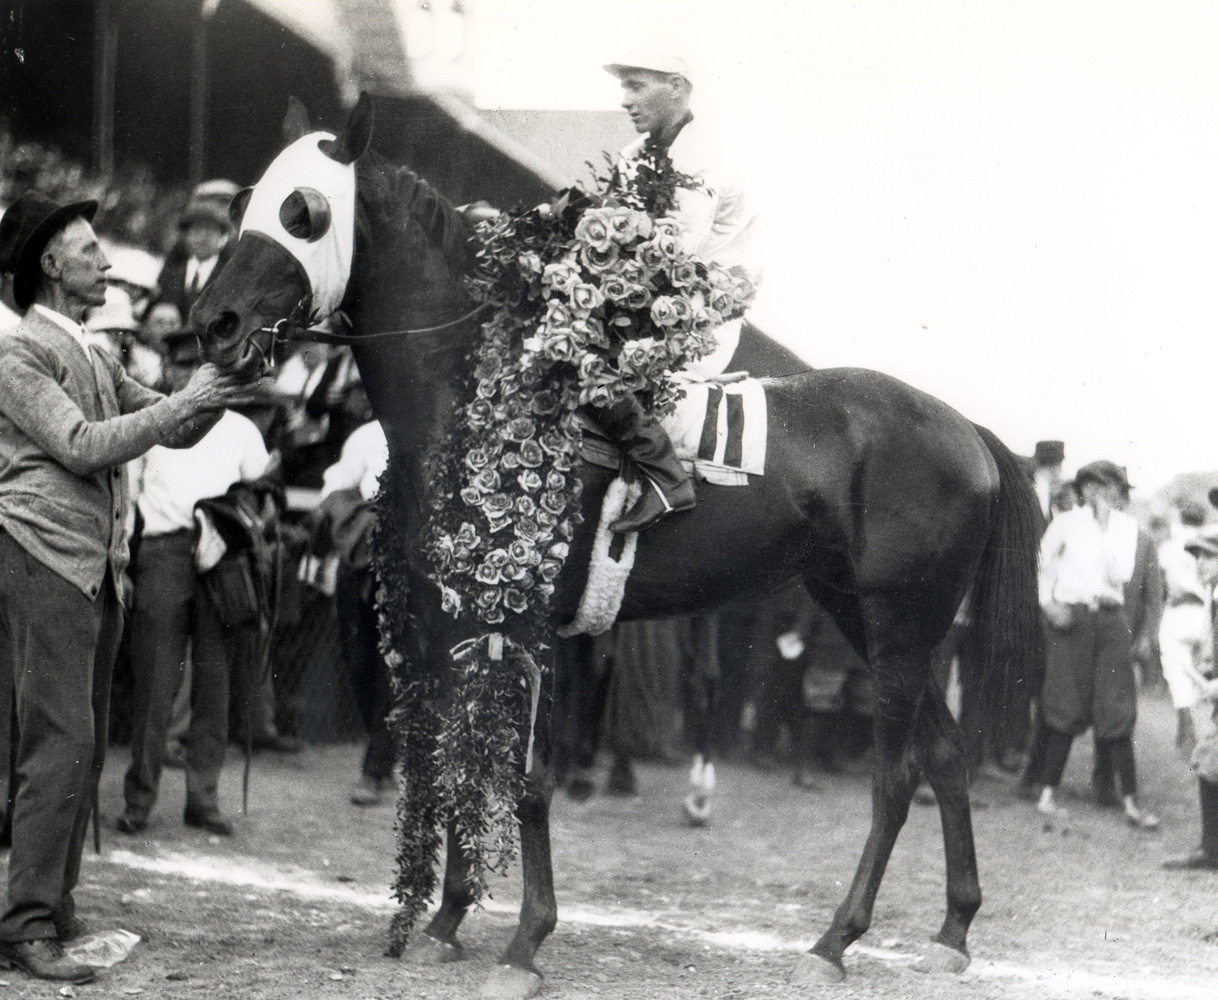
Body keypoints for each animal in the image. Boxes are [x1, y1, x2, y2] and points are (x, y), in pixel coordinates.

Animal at [192, 91, 1037, 989]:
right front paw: (449, 917)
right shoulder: (464, 617)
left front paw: (525, 940)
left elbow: (527, 776)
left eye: (304, 213)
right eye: (248, 203)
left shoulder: (530, 624)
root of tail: (970, 433)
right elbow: (463, 754)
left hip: (899, 625)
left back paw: (836, 939)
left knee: (896, 776)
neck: (481, 388)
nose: (214, 323)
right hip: (863, 613)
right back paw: (952, 928)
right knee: (944, 756)